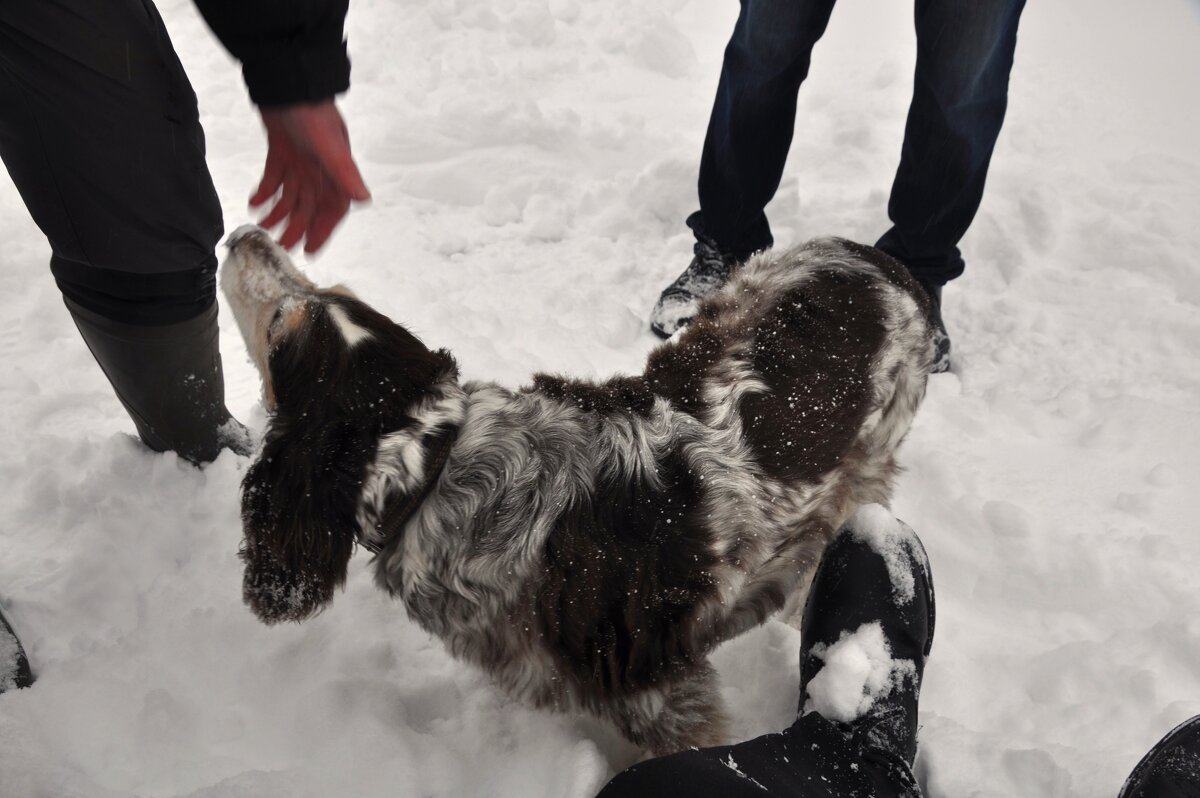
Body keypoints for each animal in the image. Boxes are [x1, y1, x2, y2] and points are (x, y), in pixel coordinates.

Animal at [220, 226, 931, 758]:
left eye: (278, 325)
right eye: (321, 292)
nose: (240, 234)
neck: (435, 467)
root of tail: (878, 258)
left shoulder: (665, 697)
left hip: (867, 462)